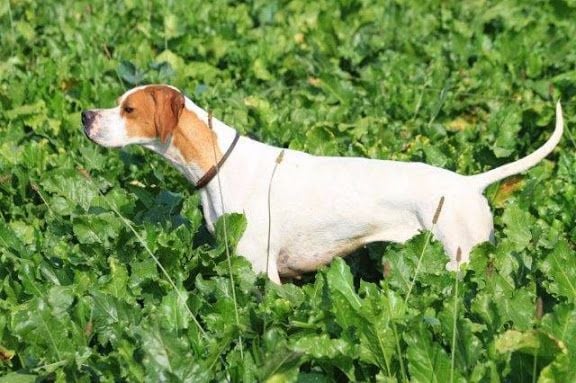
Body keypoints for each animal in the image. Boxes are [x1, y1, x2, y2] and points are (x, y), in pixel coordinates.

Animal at [81, 85, 564, 284]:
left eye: (128, 109)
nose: (85, 115)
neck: (220, 162)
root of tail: (469, 183)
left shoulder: (261, 268)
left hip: (458, 260)